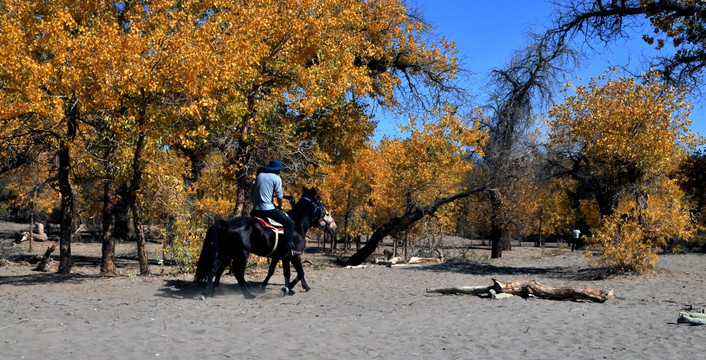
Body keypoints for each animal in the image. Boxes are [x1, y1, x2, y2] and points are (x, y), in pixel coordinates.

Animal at [195, 187, 332, 300]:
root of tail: (226, 223)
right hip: (241, 253)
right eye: (321, 203)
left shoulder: (282, 256)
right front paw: (288, 288)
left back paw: (207, 293)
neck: (297, 226)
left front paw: (288, 288)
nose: (333, 227)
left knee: (215, 268)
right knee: (238, 272)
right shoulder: (295, 255)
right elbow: (300, 272)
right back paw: (248, 294)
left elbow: (281, 272)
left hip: (227, 252)